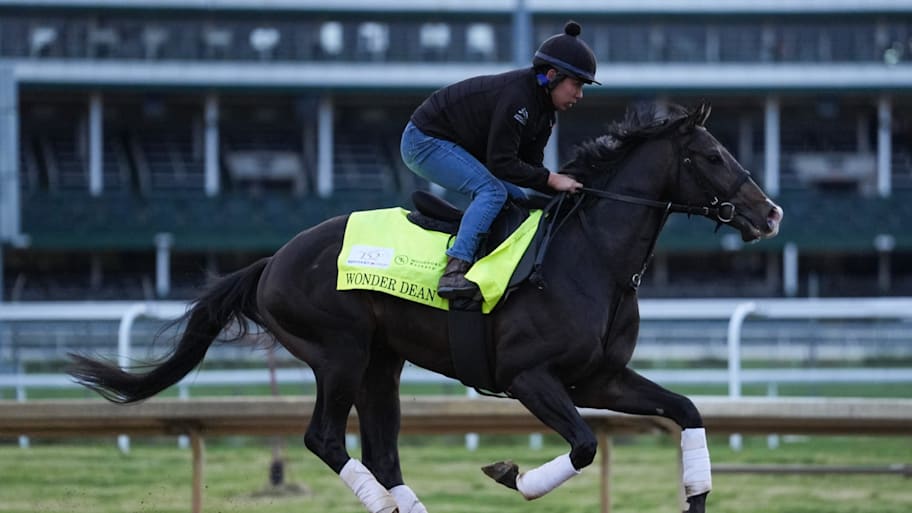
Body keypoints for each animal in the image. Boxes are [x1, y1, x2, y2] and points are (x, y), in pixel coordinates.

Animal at [69, 102, 783, 513]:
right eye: (712, 155)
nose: (770, 212)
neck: (590, 258)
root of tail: (272, 262)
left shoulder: (599, 378)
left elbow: (686, 411)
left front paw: (696, 494)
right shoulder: (530, 377)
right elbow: (582, 446)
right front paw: (509, 474)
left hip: (382, 365)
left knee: (383, 453)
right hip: (339, 352)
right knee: (325, 438)